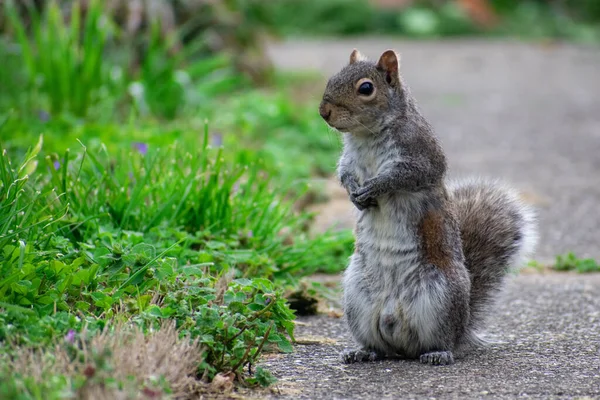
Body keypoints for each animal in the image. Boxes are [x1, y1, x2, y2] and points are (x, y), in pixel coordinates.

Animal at [318, 48, 540, 364]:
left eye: (366, 88)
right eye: (333, 77)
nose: (324, 112)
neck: (367, 136)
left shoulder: (422, 154)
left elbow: (404, 176)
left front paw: (375, 187)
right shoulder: (349, 158)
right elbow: (344, 173)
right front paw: (353, 193)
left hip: (440, 297)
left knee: (438, 340)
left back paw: (438, 353)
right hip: (357, 296)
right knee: (379, 346)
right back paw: (362, 351)